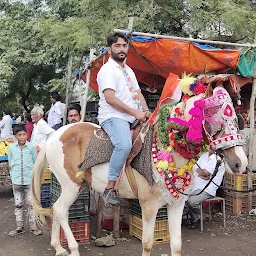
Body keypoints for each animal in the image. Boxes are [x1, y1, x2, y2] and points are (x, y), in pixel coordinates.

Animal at [30, 87, 248, 255]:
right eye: (216, 121)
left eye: (236, 120)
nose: (241, 163)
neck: (168, 150)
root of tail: (53, 136)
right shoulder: (148, 206)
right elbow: (148, 243)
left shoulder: (176, 204)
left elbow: (176, 245)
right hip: (71, 185)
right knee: (60, 210)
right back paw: (73, 248)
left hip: (73, 185)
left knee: (56, 208)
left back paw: (59, 247)